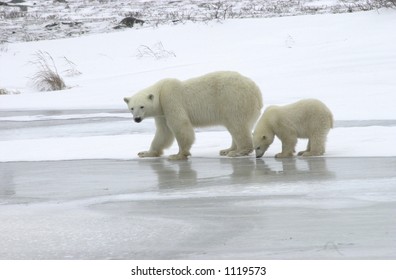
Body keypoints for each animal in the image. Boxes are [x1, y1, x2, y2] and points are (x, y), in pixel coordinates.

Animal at [124, 71, 262, 160]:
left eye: (142, 106)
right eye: (132, 108)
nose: (137, 119)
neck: (160, 91)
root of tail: (256, 91)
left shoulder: (170, 100)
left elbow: (180, 125)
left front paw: (178, 155)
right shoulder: (162, 113)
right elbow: (163, 133)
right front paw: (145, 153)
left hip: (233, 100)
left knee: (237, 125)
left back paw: (238, 151)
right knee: (236, 126)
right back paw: (228, 149)